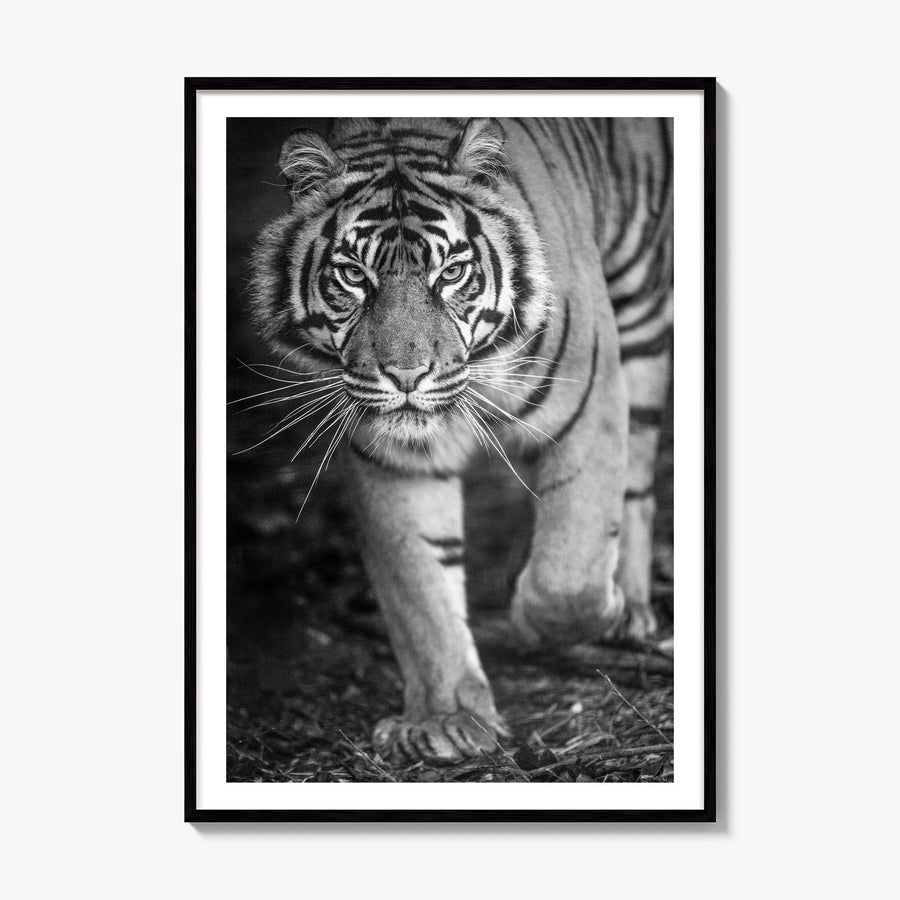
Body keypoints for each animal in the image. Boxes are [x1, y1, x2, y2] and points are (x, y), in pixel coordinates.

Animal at [249, 117, 673, 765]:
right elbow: (420, 588)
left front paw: (580, 615)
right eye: (353, 275)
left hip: (641, 308)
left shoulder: (591, 396)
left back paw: (629, 609)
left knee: (638, 482)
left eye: (451, 273)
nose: (405, 376)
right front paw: (446, 718)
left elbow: (567, 576)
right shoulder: (394, 459)